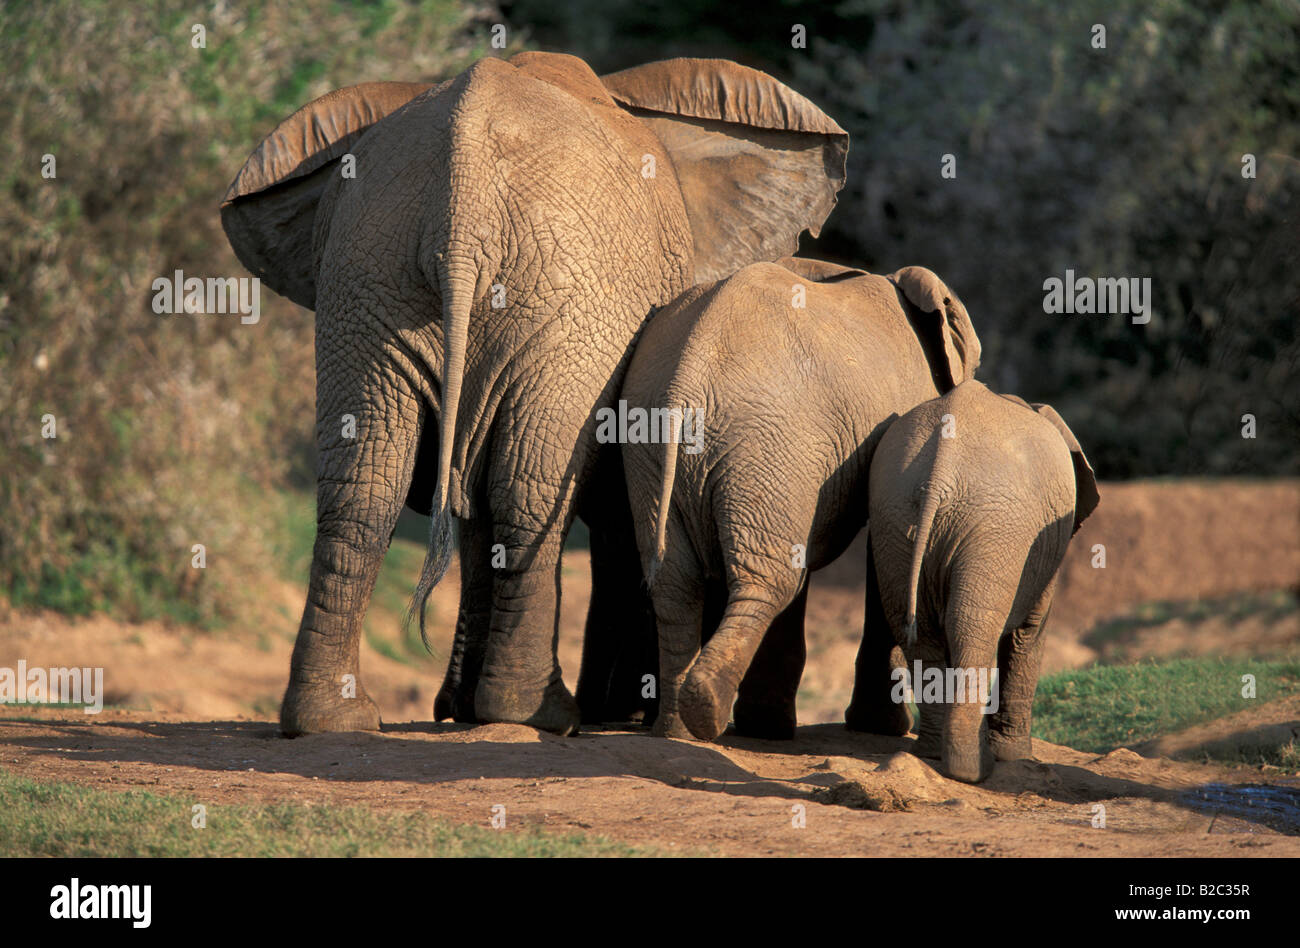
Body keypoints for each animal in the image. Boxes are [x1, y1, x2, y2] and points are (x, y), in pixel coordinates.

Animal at [220, 48, 852, 733]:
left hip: (368, 278)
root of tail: (462, 195)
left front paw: (459, 708)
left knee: (366, 483)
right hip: (572, 302)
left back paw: (331, 718)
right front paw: (612, 710)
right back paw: (540, 713)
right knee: (532, 481)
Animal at [847, 377, 1102, 785]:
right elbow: (1030, 631)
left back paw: (935, 754)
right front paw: (1014, 757)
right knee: (972, 624)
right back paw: (973, 770)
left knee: (924, 631)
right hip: (994, 529)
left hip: (894, 518)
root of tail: (940, 471)